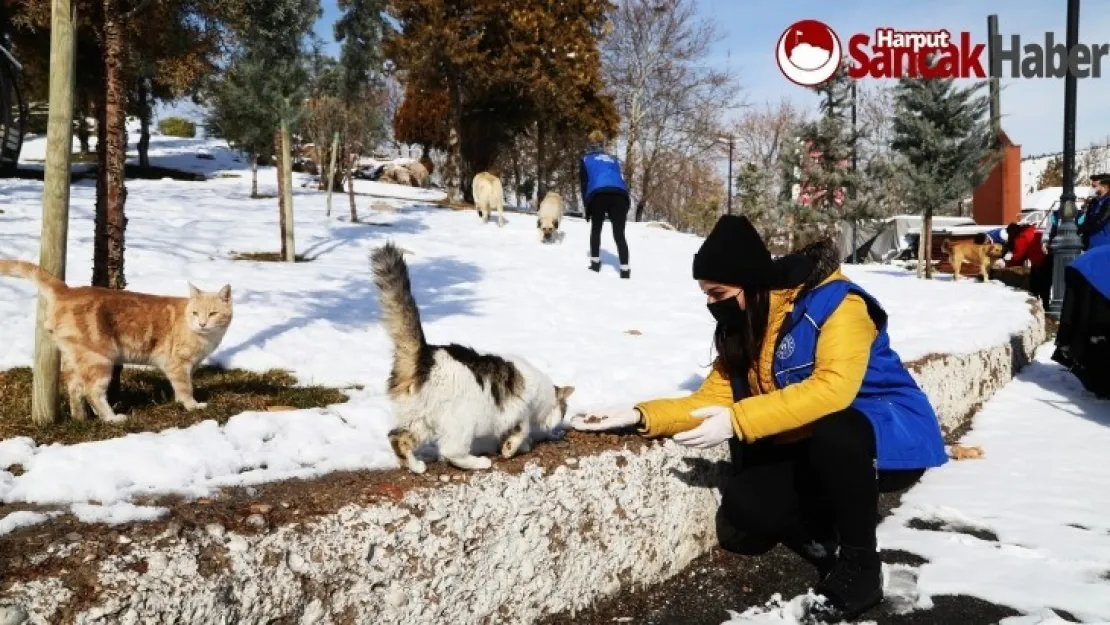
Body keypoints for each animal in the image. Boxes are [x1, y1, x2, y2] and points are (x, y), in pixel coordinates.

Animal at [0, 259, 231, 426]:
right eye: (195, 313)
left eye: (212, 313)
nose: (202, 323)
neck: (205, 336)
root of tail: (68, 290)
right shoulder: (177, 364)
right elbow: (185, 387)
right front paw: (192, 405)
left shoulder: (190, 365)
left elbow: (183, 385)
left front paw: (180, 401)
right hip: (99, 359)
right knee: (92, 392)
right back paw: (111, 418)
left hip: (74, 358)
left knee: (74, 388)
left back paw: (80, 418)